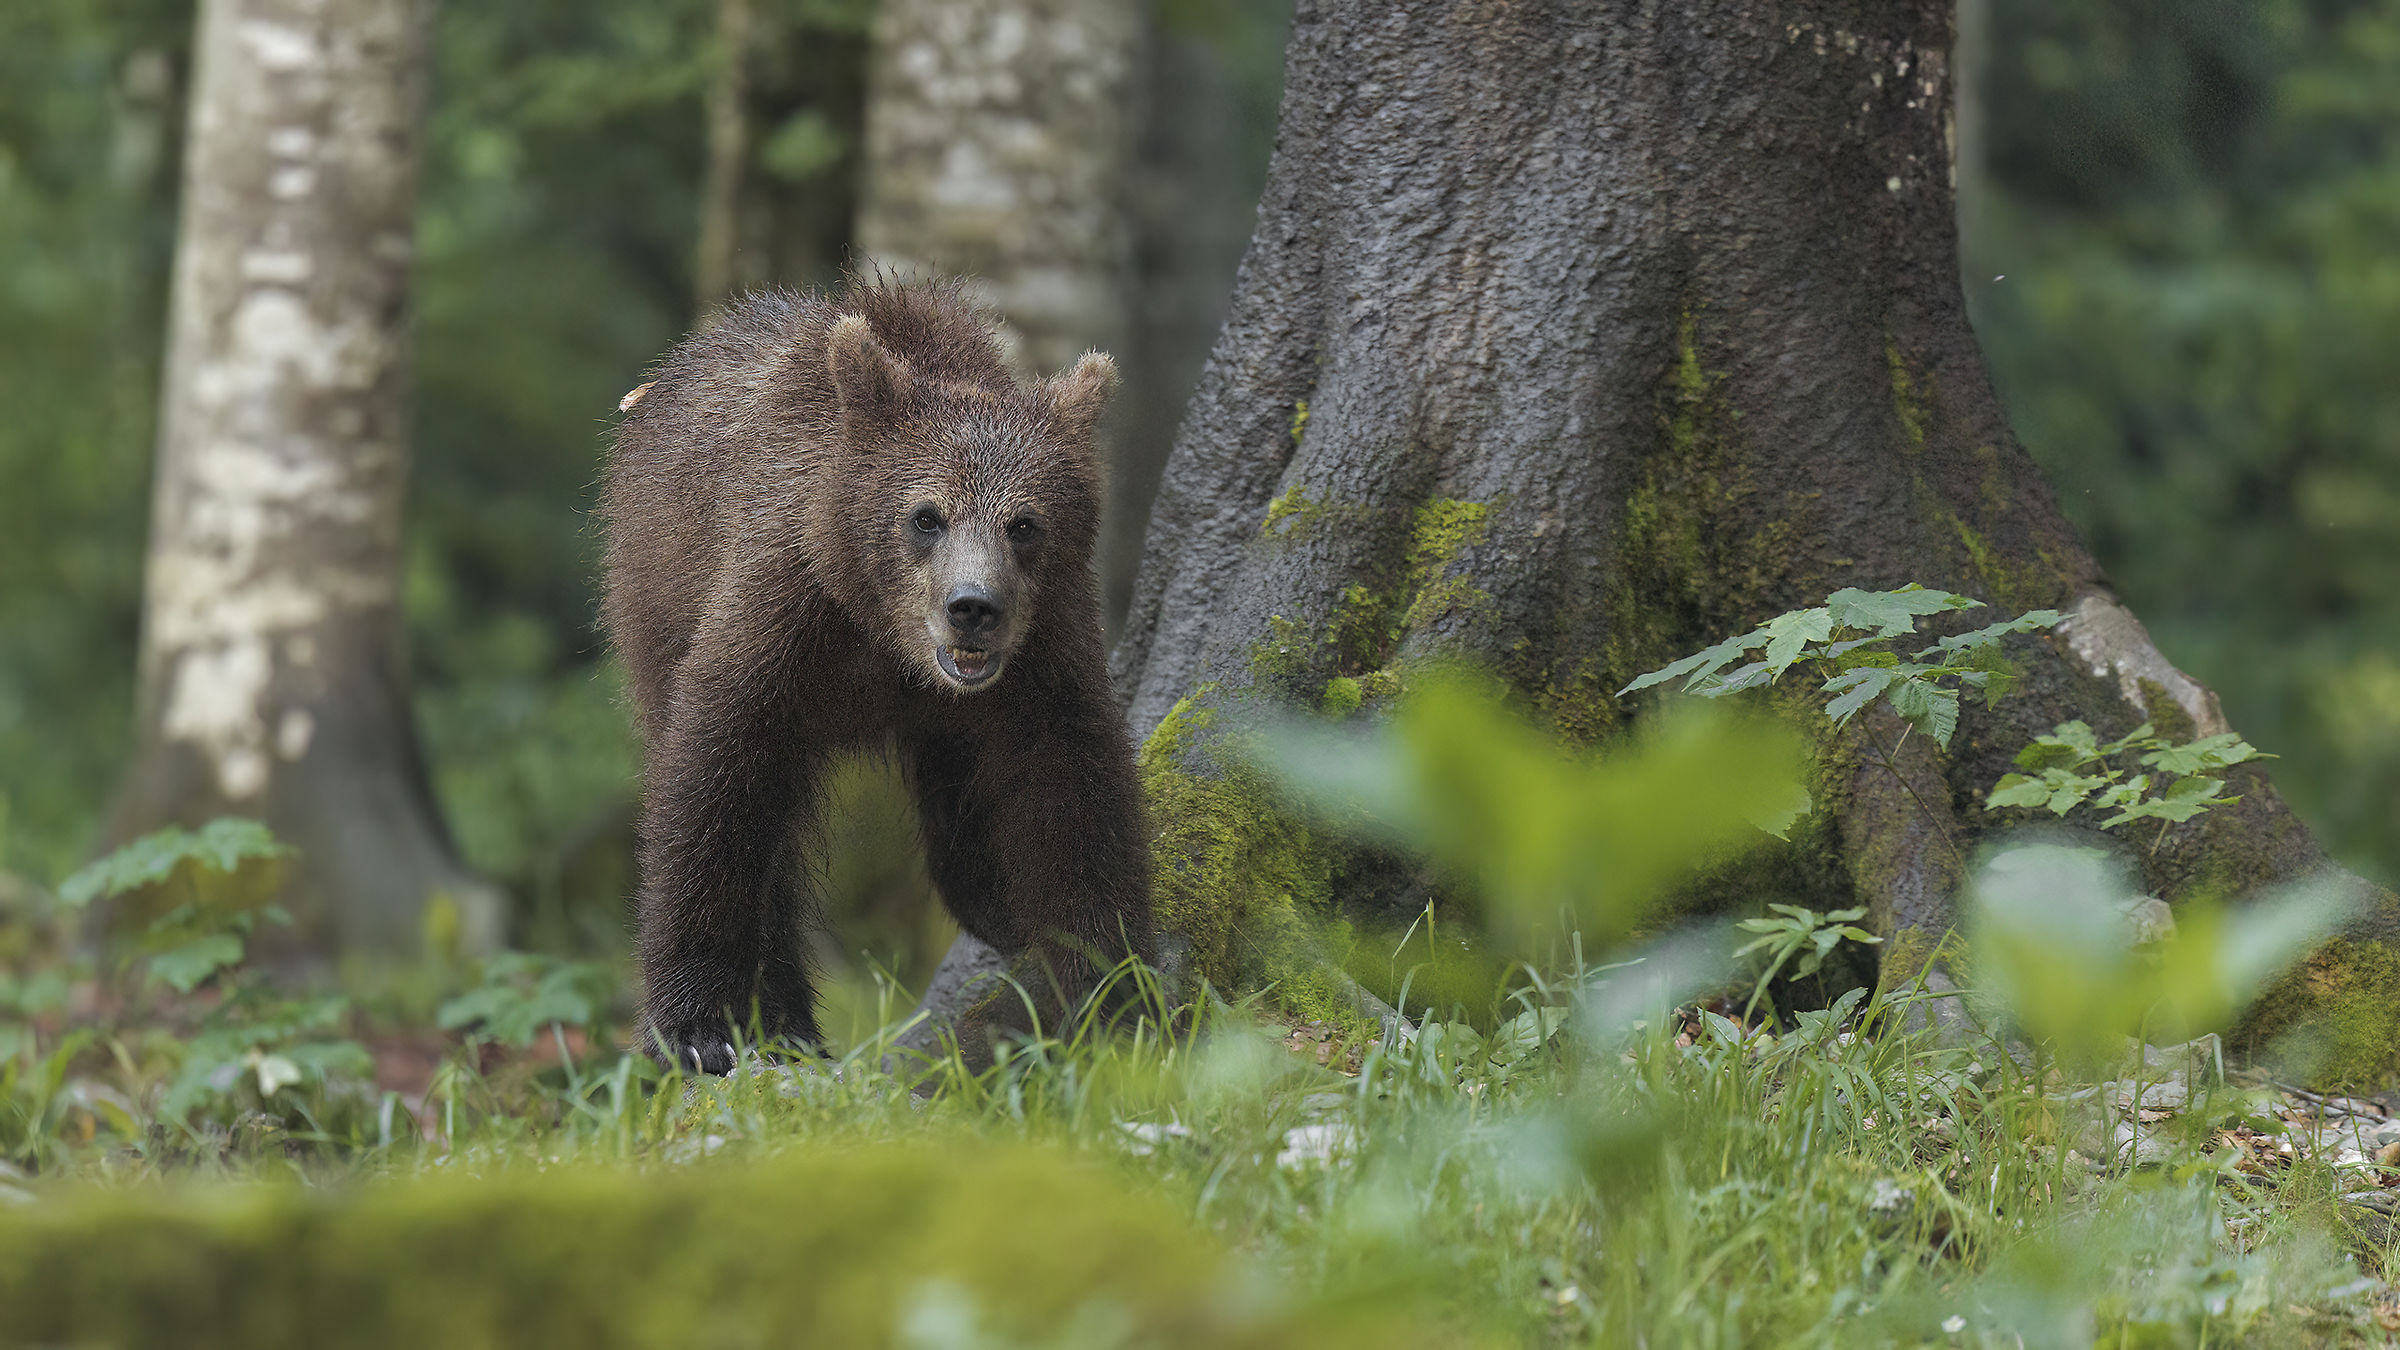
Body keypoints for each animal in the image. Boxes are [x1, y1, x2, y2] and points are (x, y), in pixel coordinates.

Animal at [599, 276, 1157, 1073]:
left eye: (1024, 524)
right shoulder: (782, 613)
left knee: (963, 827)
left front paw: (1113, 995)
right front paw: (697, 1026)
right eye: (927, 516)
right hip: (653, 588)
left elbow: (1073, 791)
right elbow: (716, 780)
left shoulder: (1045, 652)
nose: (972, 608)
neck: (887, 642)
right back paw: (787, 1021)